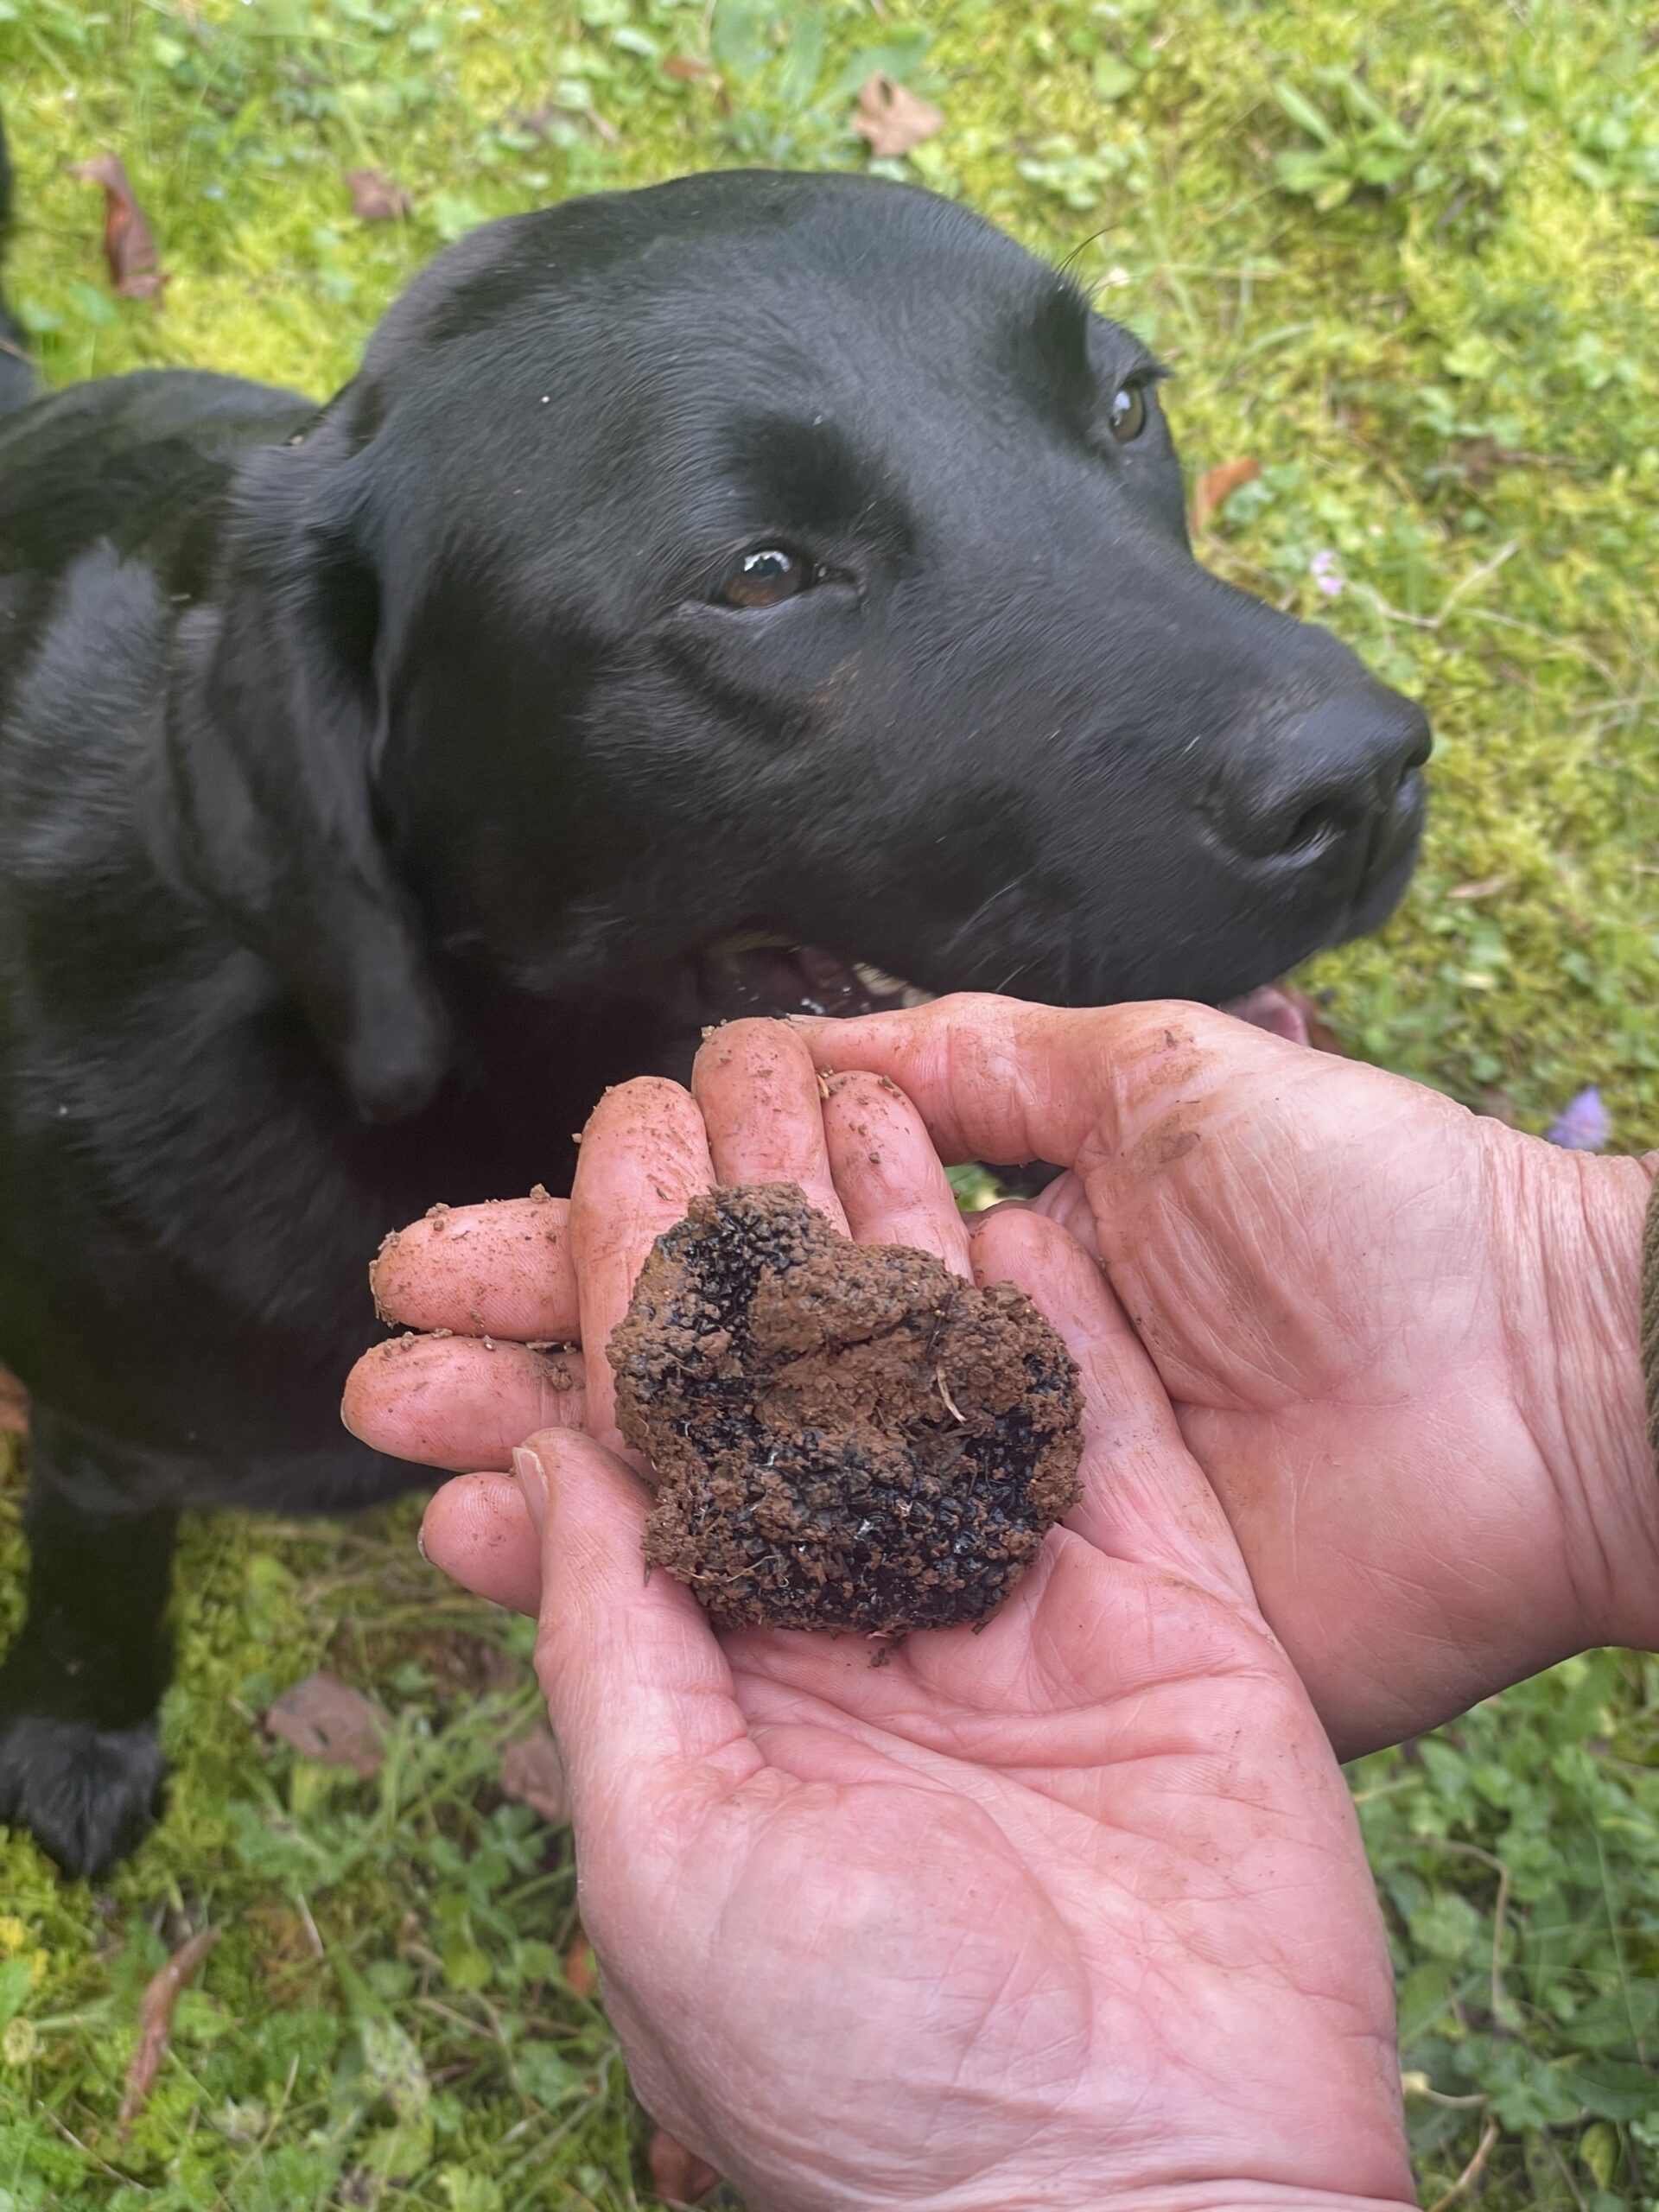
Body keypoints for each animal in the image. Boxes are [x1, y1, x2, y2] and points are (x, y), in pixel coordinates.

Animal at [0, 147, 1433, 1875]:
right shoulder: (104, 1441)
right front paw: (77, 1737)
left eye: (1128, 405)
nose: (1364, 776)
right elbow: (94, 1579)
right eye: (761, 574)